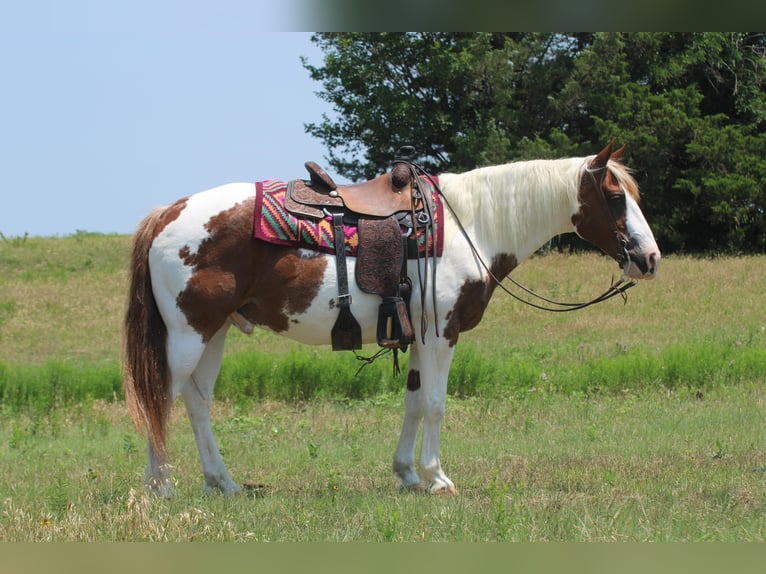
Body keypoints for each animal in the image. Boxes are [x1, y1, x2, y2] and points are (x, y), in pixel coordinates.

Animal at [124, 141, 660, 500]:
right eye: (615, 197)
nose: (650, 258)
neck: (472, 225)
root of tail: (168, 212)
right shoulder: (442, 332)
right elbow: (437, 405)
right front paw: (438, 478)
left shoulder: (418, 333)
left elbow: (414, 402)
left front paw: (406, 473)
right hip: (187, 334)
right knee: (161, 400)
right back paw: (160, 486)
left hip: (213, 333)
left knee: (197, 404)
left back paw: (223, 482)